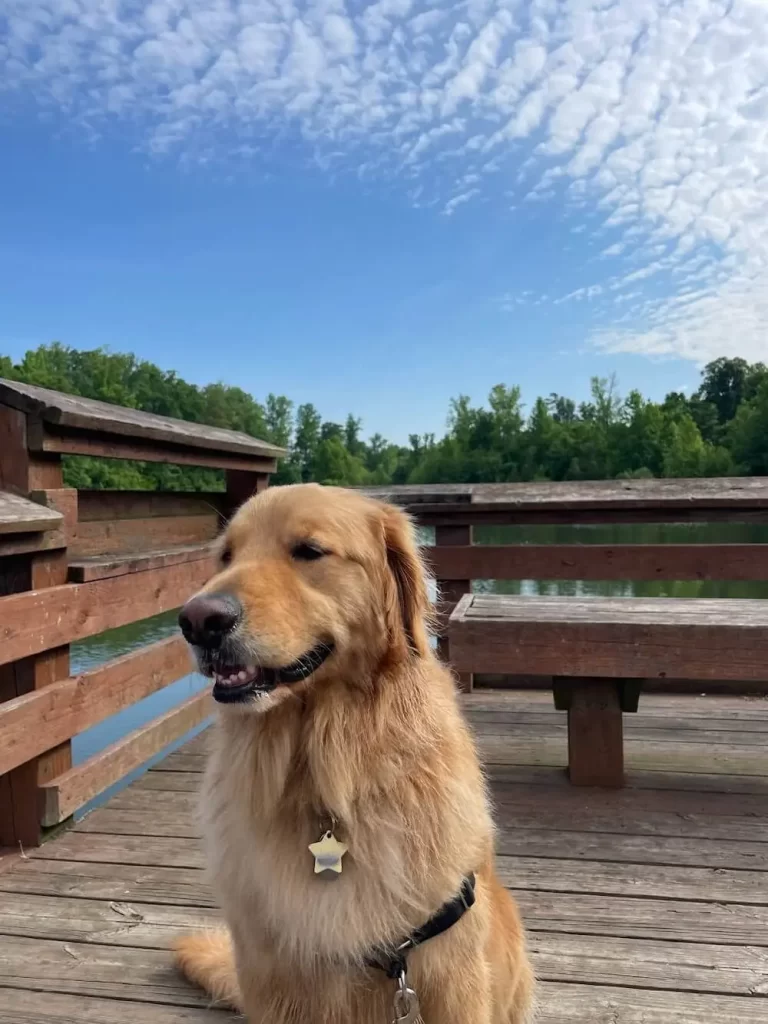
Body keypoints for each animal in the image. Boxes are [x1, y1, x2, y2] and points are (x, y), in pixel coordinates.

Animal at [174, 481, 536, 1024]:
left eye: (308, 550)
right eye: (226, 556)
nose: (198, 620)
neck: (323, 769)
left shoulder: (449, 974)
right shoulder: (273, 976)